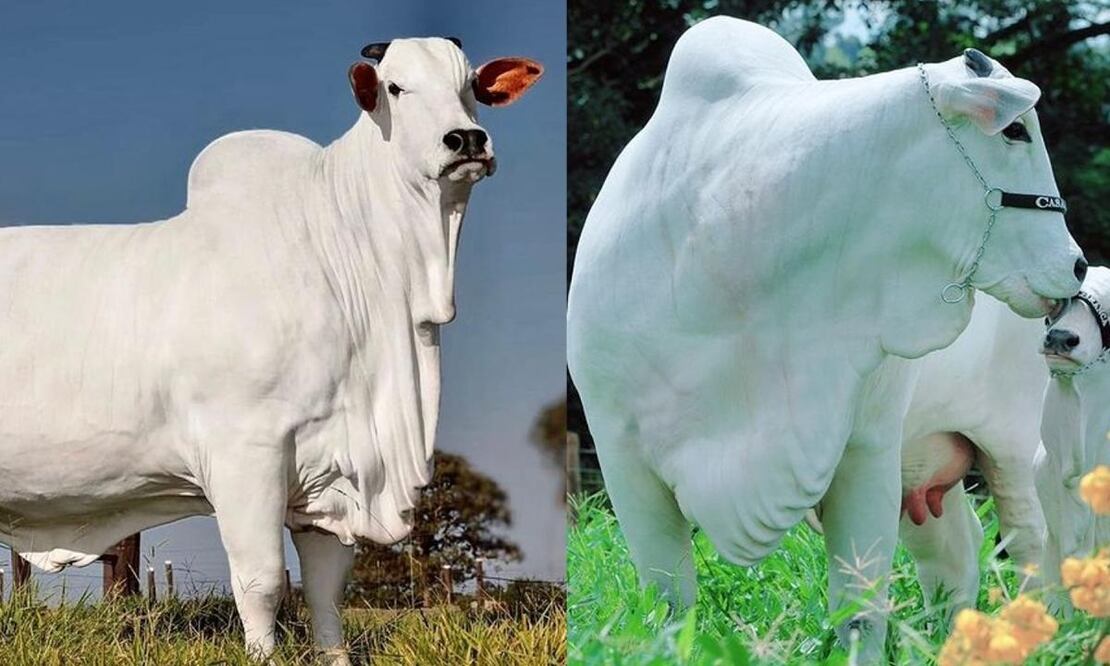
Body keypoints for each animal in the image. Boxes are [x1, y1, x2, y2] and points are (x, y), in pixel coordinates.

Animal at [0, 37, 541, 662]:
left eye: (471, 86)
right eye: (395, 87)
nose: (466, 140)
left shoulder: (331, 471)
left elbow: (326, 590)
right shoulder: (244, 451)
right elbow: (261, 581)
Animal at [566, 16, 1082, 660]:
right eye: (1015, 129)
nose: (1076, 265)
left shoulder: (865, 448)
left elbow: (859, 611)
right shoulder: (622, 458)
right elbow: (670, 604)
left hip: (1012, 442)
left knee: (1032, 542)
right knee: (954, 558)